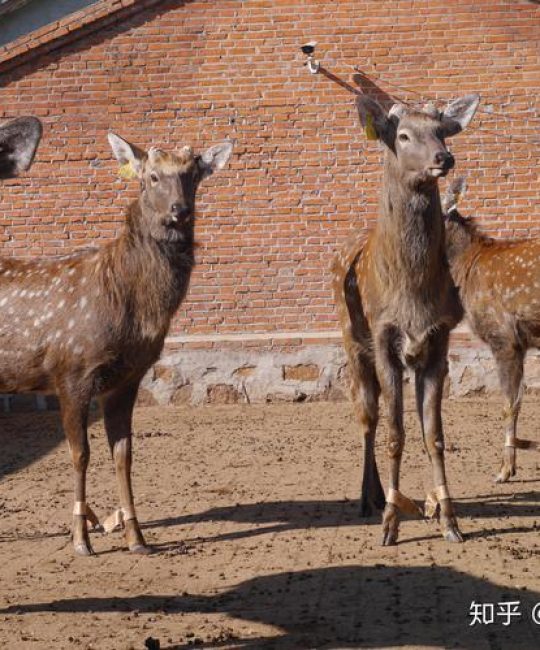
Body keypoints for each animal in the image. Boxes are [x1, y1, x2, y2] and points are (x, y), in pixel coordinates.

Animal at [0, 132, 233, 556]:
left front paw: (136, 537)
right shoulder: (71, 372)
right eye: (152, 176)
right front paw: (81, 539)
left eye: (193, 175)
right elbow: (80, 454)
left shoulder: (127, 379)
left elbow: (123, 456)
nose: (180, 210)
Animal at [331, 94, 480, 545]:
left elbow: (435, 435)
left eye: (442, 130)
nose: (443, 158)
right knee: (368, 418)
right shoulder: (384, 340)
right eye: (402, 135)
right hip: (352, 344)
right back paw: (370, 499)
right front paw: (391, 524)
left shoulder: (438, 341)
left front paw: (450, 521)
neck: (411, 293)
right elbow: (395, 434)